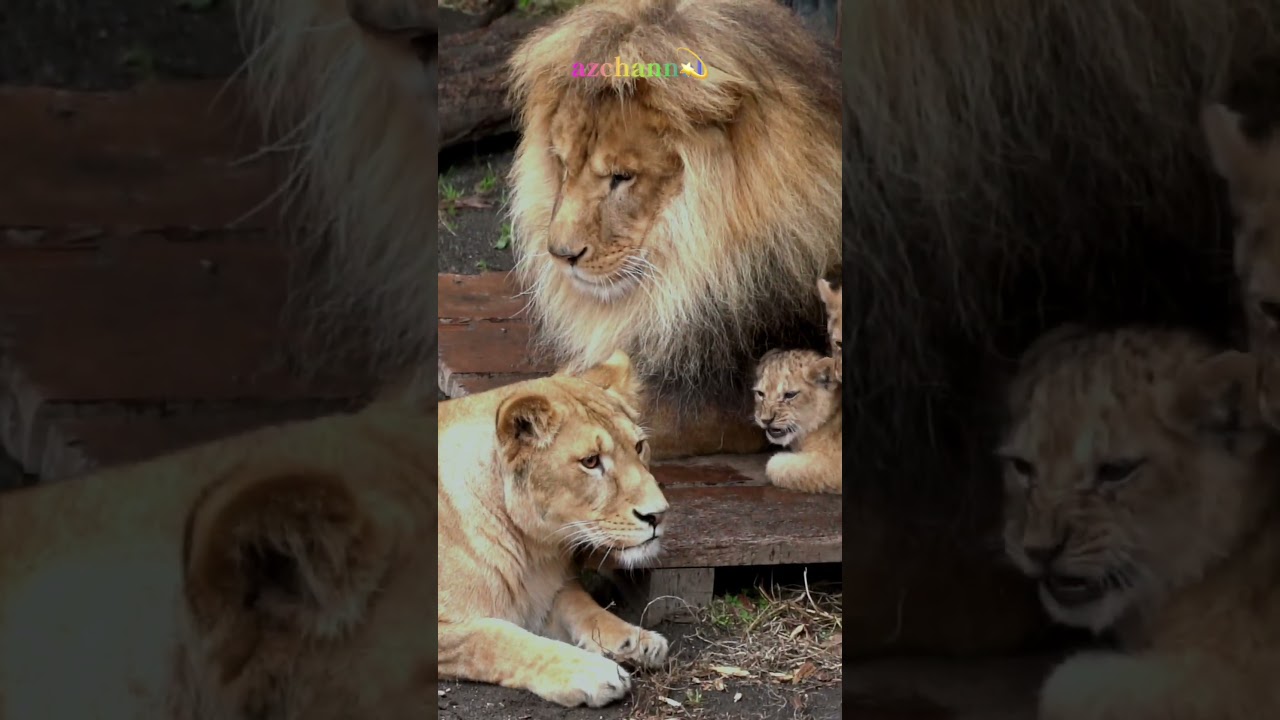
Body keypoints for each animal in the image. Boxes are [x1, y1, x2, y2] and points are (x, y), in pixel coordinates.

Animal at [437, 350, 670, 707]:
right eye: (591, 461)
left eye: (639, 446)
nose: (659, 514)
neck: (529, 549)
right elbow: (495, 638)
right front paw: (591, 671)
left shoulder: (547, 590)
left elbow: (582, 604)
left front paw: (635, 640)